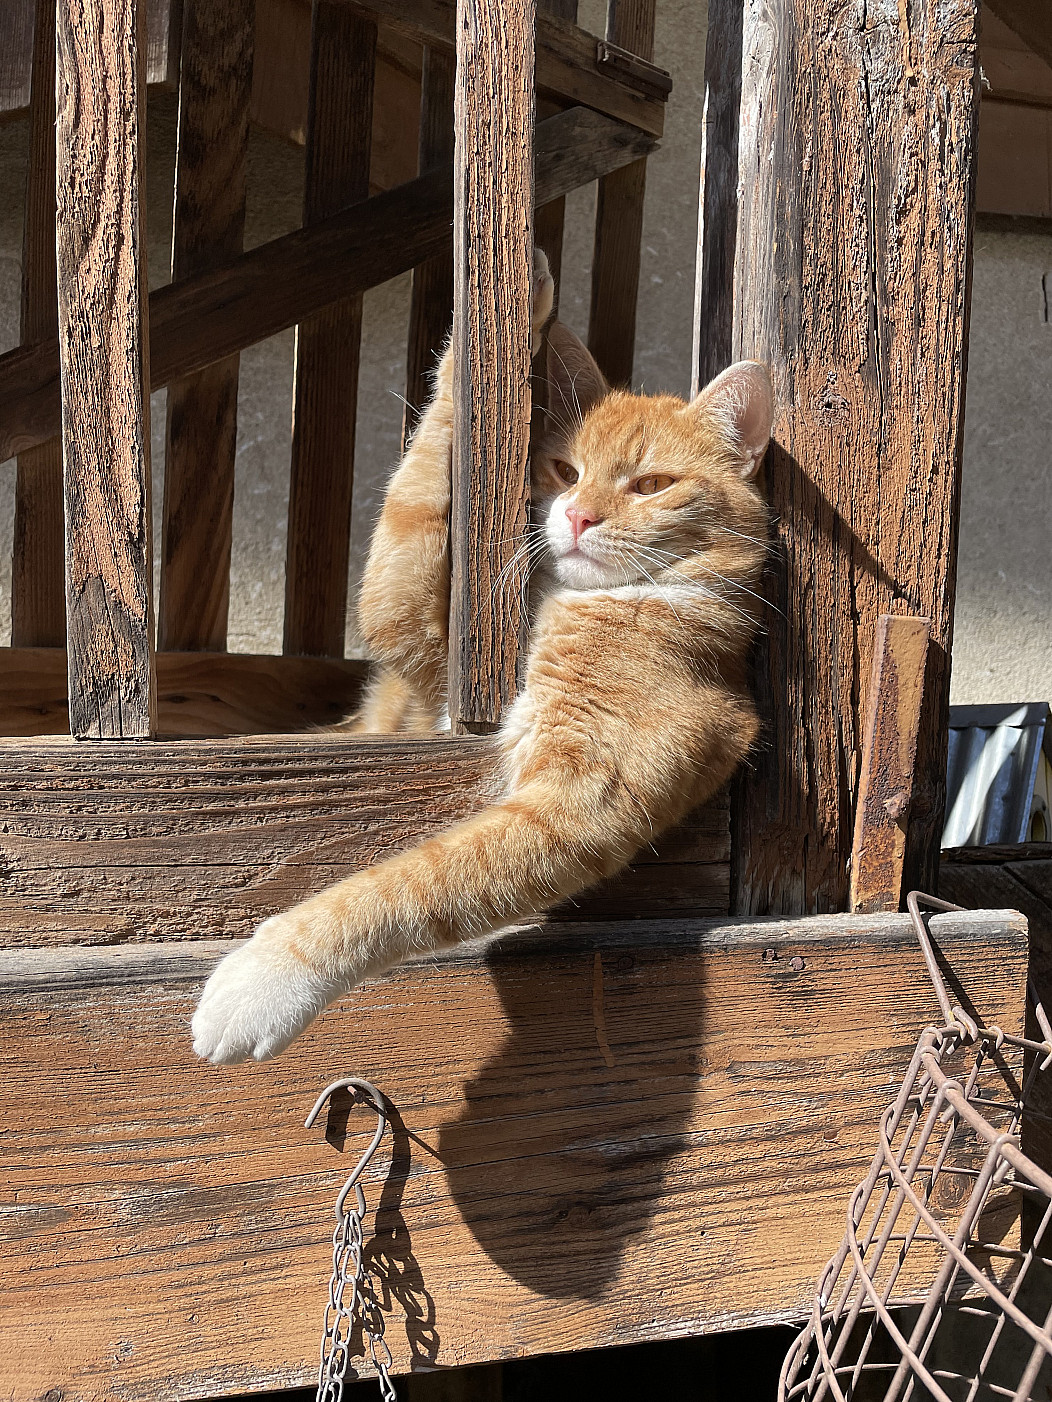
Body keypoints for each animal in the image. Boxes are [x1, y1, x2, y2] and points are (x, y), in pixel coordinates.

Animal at [192, 250, 773, 1065]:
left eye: (652, 484)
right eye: (564, 471)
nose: (578, 516)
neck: (574, 605)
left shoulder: (575, 803)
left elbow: (406, 886)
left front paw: (261, 984)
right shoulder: (418, 639)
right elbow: (417, 493)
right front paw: (515, 306)